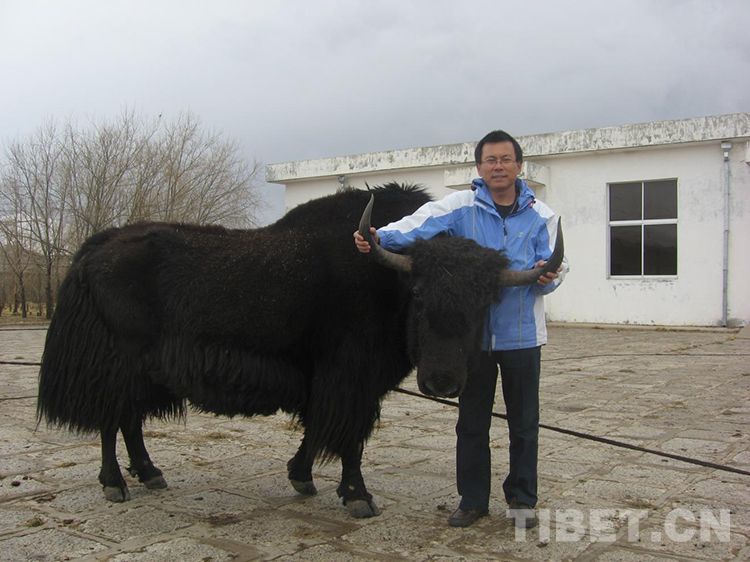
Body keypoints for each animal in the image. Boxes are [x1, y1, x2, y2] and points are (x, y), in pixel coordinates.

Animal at [37, 182, 563, 518]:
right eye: (418, 294)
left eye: (486, 301)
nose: (442, 382)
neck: (385, 277)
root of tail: (94, 247)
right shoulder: (350, 377)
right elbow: (349, 436)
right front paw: (358, 497)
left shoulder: (326, 379)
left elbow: (316, 429)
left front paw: (301, 477)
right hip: (119, 362)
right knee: (111, 418)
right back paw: (116, 485)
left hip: (145, 371)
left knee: (128, 419)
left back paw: (149, 474)